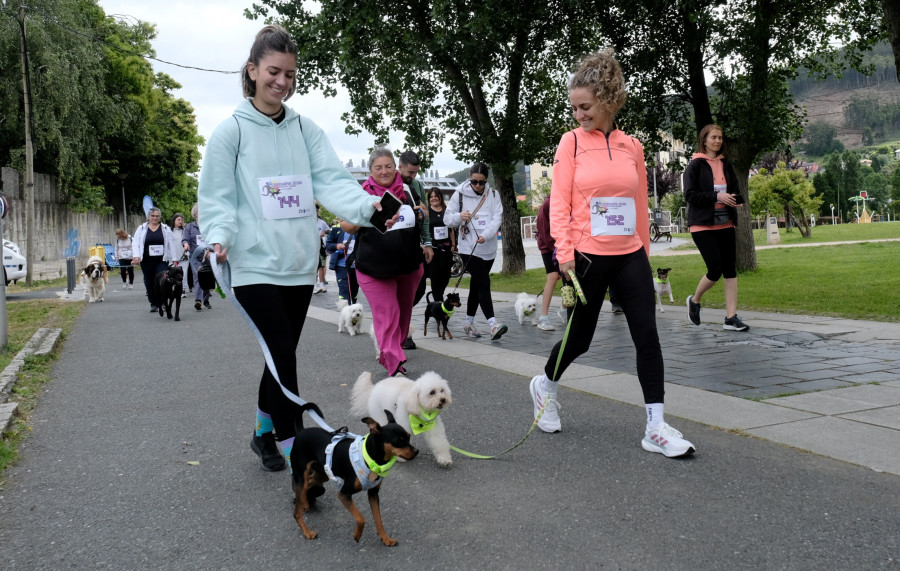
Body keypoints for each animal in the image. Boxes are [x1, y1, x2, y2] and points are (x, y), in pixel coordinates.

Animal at [294, 402, 420, 544]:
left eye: (409, 437)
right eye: (398, 442)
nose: (416, 451)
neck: (370, 459)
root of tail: (301, 430)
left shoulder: (373, 494)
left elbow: (378, 519)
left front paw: (385, 538)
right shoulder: (344, 494)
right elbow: (361, 518)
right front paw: (357, 534)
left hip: (322, 474)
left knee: (308, 483)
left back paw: (304, 502)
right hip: (302, 476)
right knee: (296, 510)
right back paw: (307, 532)